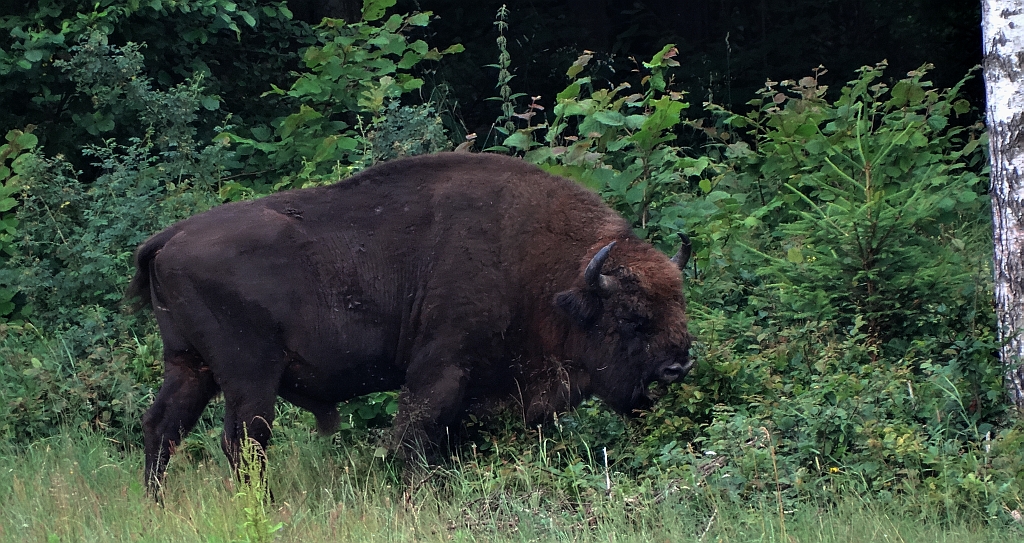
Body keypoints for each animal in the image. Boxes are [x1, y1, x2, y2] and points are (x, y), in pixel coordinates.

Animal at [127, 153, 693, 495]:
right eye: (632, 317)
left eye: (679, 303)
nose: (678, 365)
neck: (549, 271)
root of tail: (170, 237)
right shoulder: (442, 368)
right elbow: (413, 436)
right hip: (249, 375)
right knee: (244, 442)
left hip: (189, 365)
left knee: (163, 427)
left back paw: (157, 504)